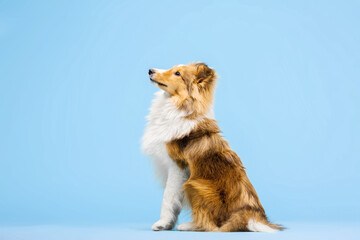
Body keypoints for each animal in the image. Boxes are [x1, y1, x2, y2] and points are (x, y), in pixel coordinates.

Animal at [142, 62, 282, 232]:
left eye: (178, 74)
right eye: (173, 69)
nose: (150, 70)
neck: (178, 105)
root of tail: (249, 216)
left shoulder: (177, 166)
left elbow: (168, 198)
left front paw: (162, 223)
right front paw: (168, 224)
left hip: (195, 184)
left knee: (214, 226)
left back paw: (188, 225)